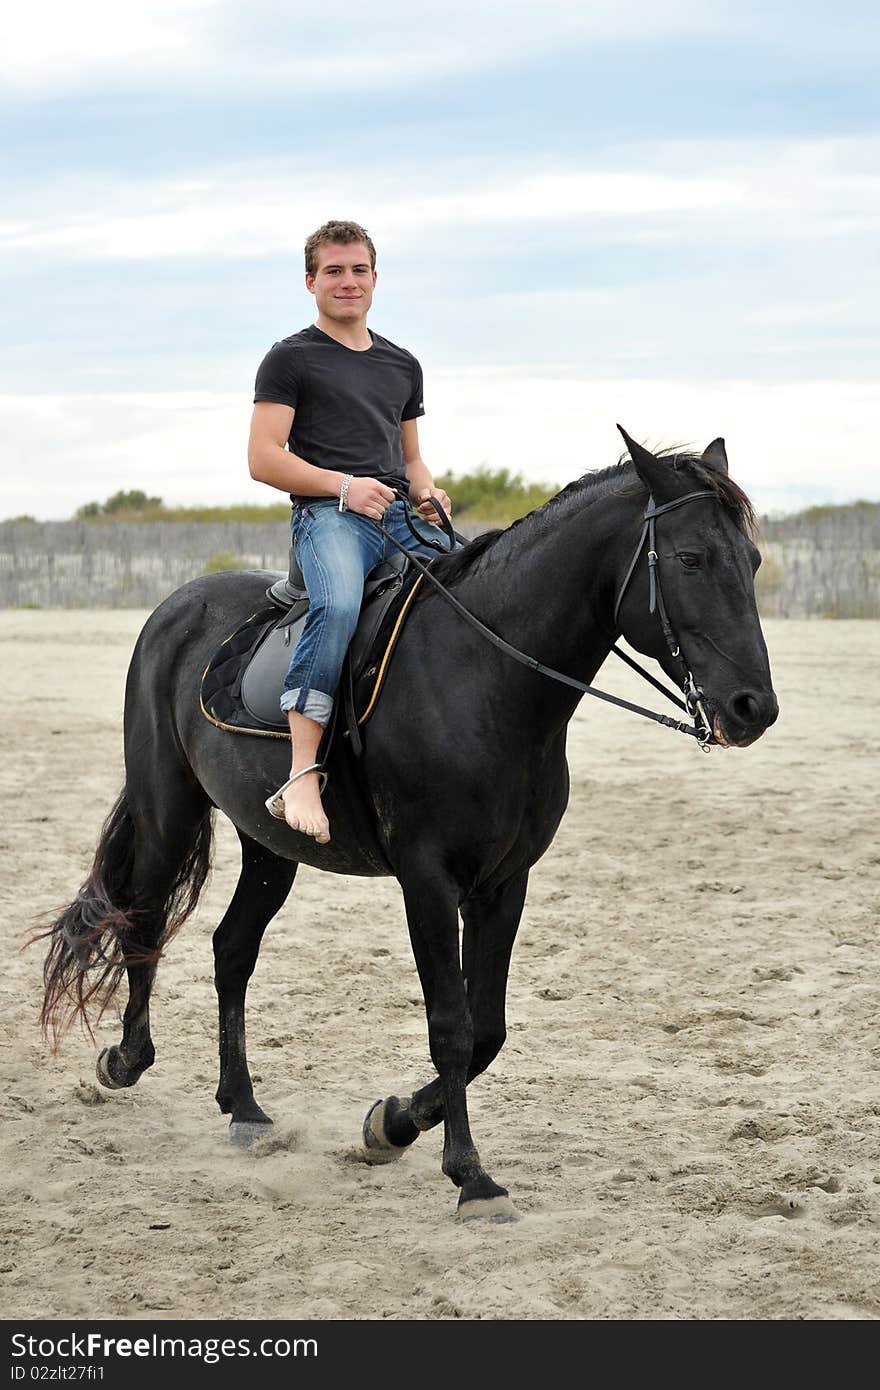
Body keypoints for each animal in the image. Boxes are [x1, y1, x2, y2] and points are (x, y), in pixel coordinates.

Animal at [39, 430, 772, 1217]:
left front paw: (389, 1124)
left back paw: (244, 1108)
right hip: (166, 809)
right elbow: (450, 1026)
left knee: (231, 950)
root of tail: (177, 607)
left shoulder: (504, 882)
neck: (486, 678)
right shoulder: (427, 880)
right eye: (691, 559)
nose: (754, 707)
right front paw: (470, 1176)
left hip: (270, 847)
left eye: (752, 561)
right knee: (141, 918)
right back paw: (124, 1061)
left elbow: (487, 1030)